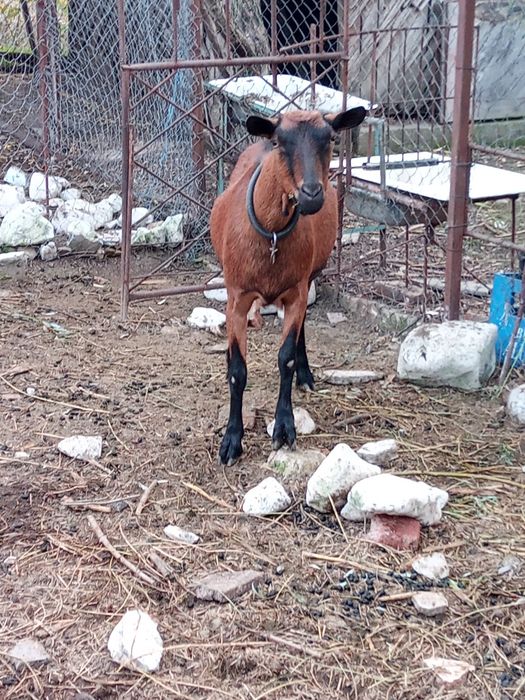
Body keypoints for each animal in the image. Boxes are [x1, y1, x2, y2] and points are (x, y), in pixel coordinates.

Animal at [210, 107, 367, 465]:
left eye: (331, 138)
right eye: (280, 142)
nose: (312, 194)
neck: (272, 236)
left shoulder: (296, 292)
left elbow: (286, 358)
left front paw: (284, 427)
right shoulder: (237, 297)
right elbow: (237, 370)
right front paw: (231, 441)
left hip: (309, 276)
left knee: (301, 330)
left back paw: (305, 376)